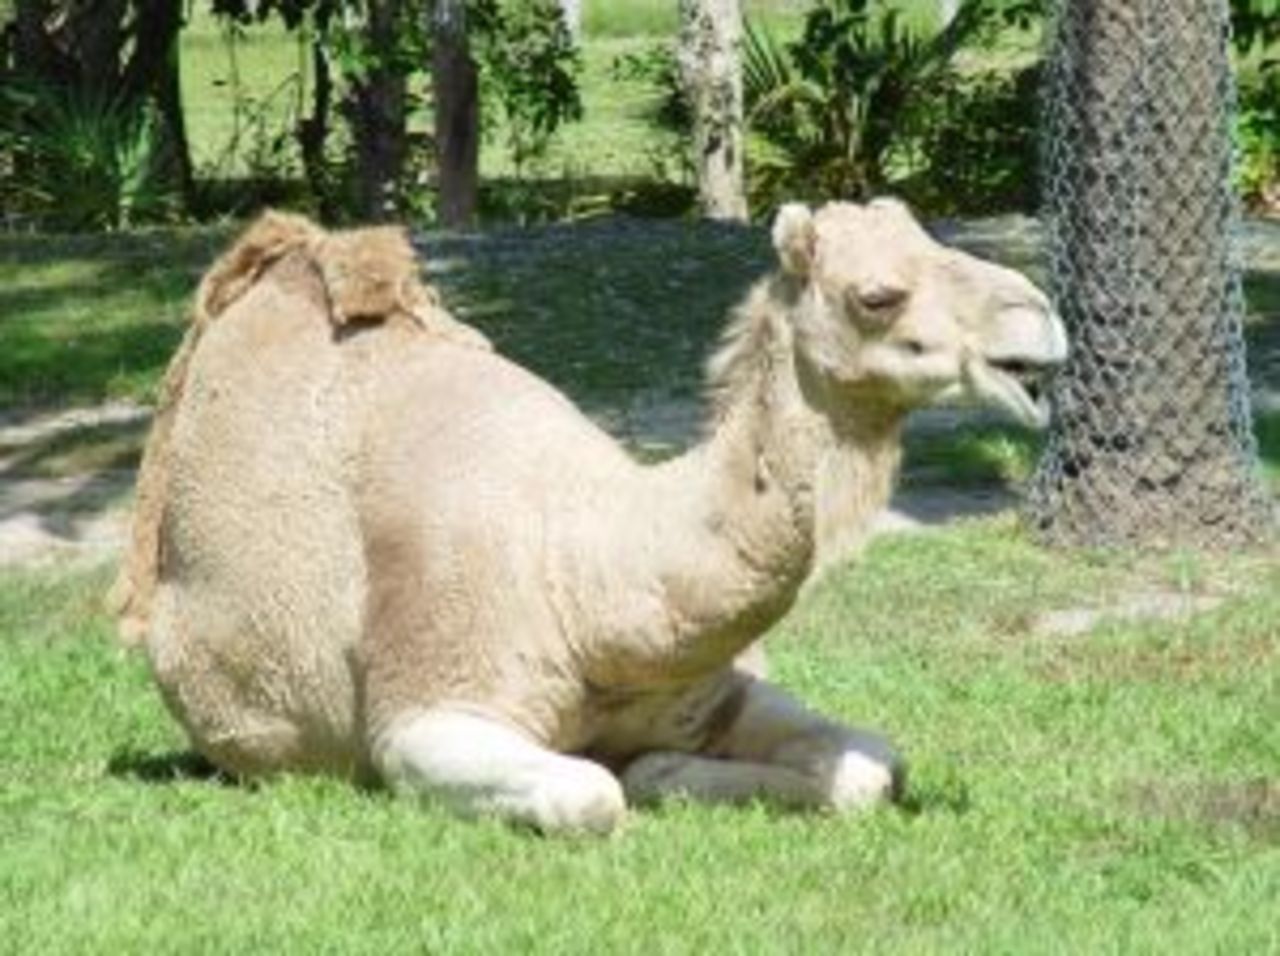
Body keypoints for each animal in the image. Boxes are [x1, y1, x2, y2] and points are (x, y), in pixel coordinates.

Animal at [112, 200, 1067, 834]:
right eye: (877, 296)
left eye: (932, 234)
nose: (1042, 319)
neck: (589, 582)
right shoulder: (425, 714)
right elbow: (591, 794)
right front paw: (643, 775)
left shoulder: (709, 683)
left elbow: (873, 763)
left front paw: (667, 766)